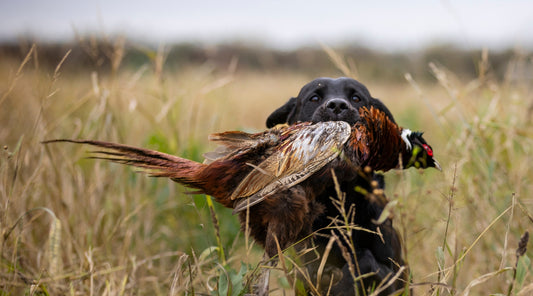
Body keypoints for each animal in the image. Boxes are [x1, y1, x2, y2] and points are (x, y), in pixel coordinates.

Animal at [266, 77, 408, 294]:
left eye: (356, 98)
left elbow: (364, 260)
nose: (338, 106)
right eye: (314, 98)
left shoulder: (392, 278)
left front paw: (345, 279)